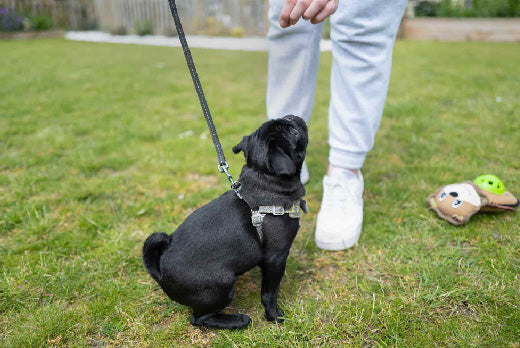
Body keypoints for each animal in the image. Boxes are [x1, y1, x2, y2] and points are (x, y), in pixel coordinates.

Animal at [141, 115, 308, 328]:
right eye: (293, 132)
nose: (291, 117)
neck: (264, 179)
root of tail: (160, 272)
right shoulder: (276, 257)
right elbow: (269, 292)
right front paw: (274, 315)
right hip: (222, 285)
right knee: (199, 319)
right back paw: (236, 321)